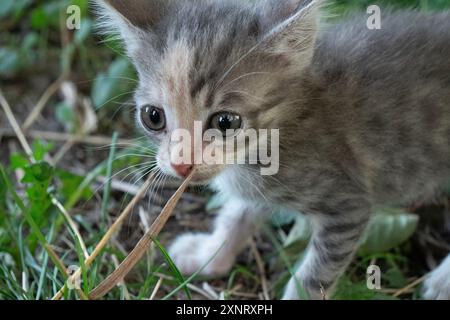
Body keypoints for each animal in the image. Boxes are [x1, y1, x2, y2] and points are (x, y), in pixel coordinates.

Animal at [96, 0, 450, 300]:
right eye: (152, 116)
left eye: (225, 122)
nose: (182, 165)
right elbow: (236, 215)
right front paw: (209, 254)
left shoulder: (349, 205)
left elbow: (315, 274)